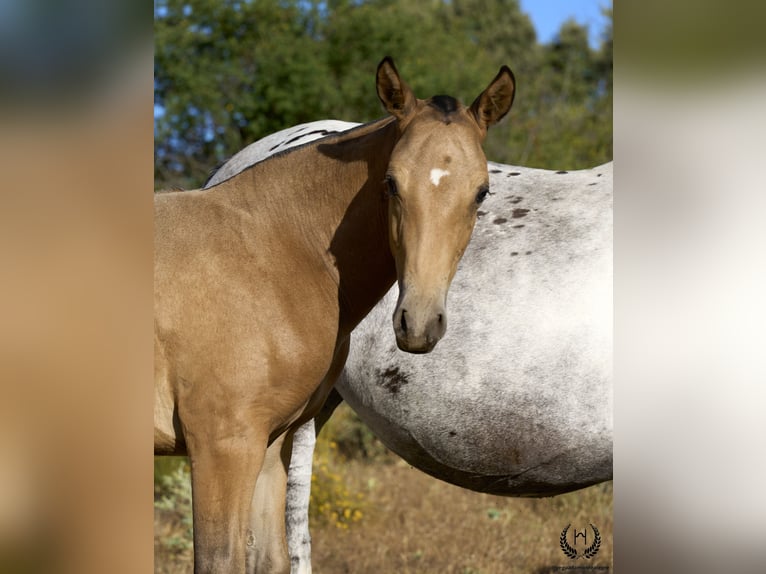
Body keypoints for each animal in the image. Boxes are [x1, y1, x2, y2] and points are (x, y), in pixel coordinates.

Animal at [154, 59, 516, 574]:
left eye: (482, 192)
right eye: (391, 182)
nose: (418, 323)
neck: (272, 249)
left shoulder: (271, 444)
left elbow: (271, 559)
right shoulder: (221, 444)